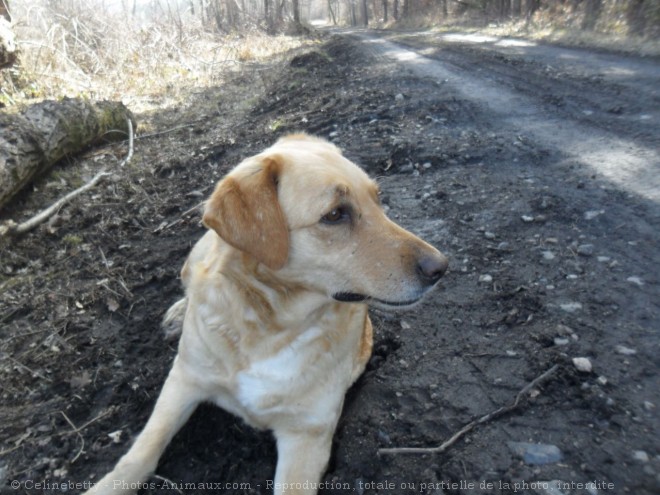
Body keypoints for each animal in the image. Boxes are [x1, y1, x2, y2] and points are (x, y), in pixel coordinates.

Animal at [85, 134, 448, 494]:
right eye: (335, 214)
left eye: (378, 199)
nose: (441, 267)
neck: (271, 328)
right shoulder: (184, 378)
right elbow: (141, 452)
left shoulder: (307, 435)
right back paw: (178, 312)